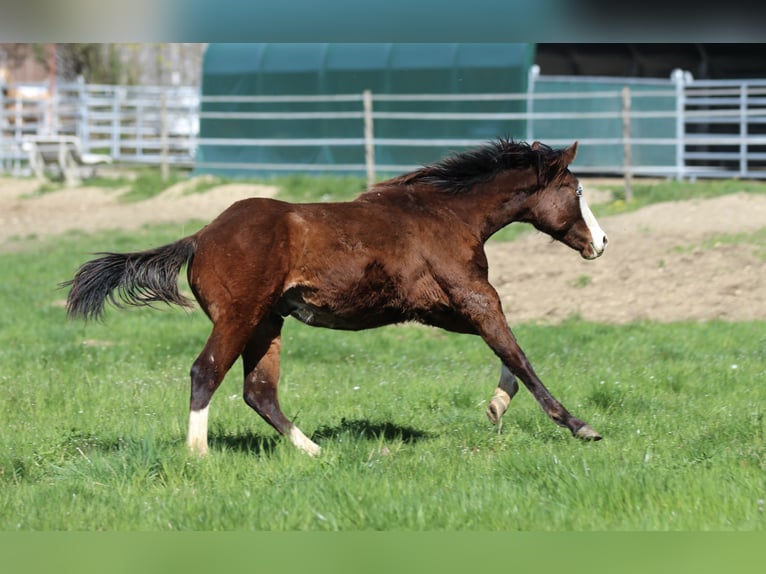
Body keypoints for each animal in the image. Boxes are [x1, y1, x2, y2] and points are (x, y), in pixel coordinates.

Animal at [64, 139, 608, 456]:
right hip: (240, 317)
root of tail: (199, 237)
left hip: (267, 323)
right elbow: (518, 354)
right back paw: (198, 456)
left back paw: (314, 451)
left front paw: (496, 406)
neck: (448, 214)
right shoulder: (473, 296)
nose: (601, 242)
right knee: (206, 371)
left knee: (259, 391)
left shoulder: (438, 308)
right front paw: (579, 426)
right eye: (578, 190)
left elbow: (505, 354)